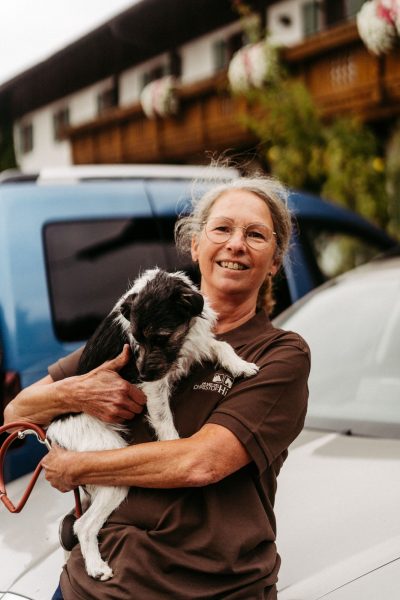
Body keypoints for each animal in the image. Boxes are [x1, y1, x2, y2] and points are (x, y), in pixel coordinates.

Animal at [46, 268, 256, 580]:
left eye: (161, 337)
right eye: (136, 339)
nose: (141, 373)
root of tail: (54, 434)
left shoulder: (191, 344)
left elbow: (220, 343)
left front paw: (239, 364)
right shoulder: (153, 387)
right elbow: (165, 422)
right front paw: (173, 447)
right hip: (107, 466)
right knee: (83, 526)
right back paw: (97, 567)